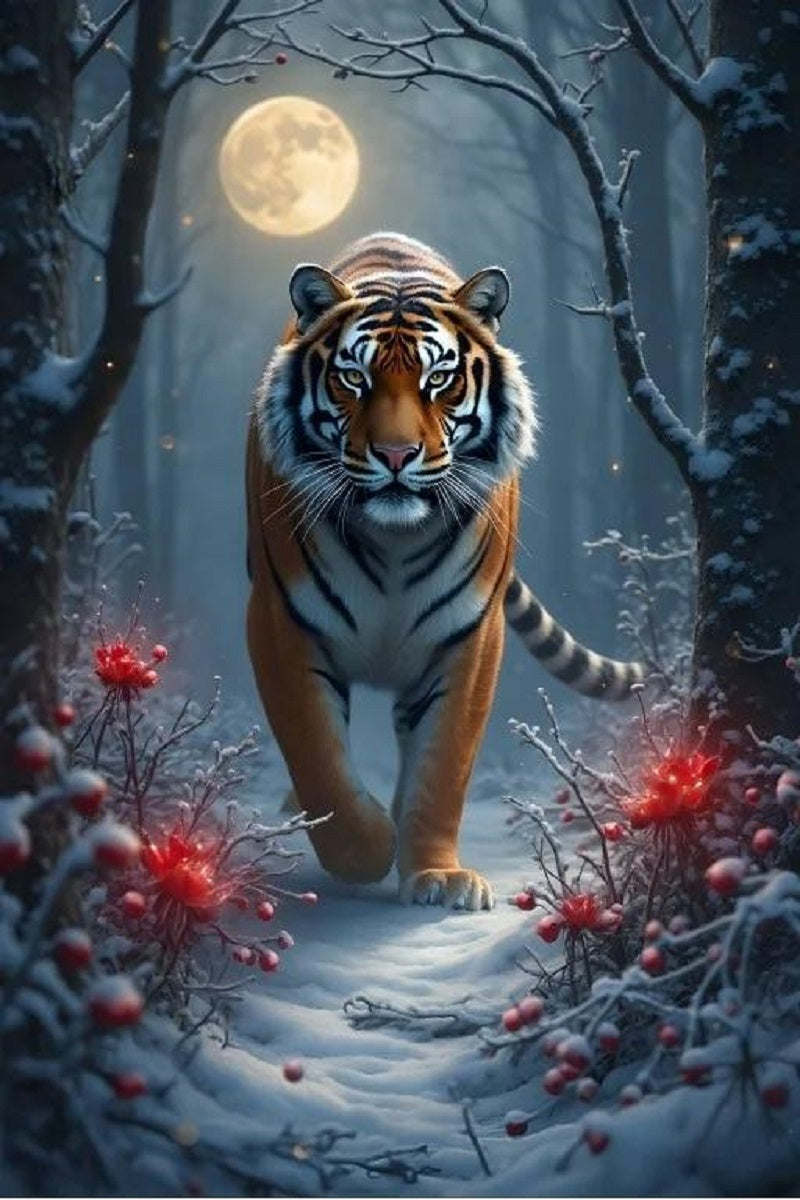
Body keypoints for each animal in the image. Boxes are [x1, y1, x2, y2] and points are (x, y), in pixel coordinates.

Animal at [245, 232, 645, 911]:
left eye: (439, 380)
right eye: (353, 377)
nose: (396, 455)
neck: (392, 540)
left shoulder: (470, 637)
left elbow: (443, 768)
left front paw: (436, 874)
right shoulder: (280, 620)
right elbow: (317, 755)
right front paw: (366, 847)